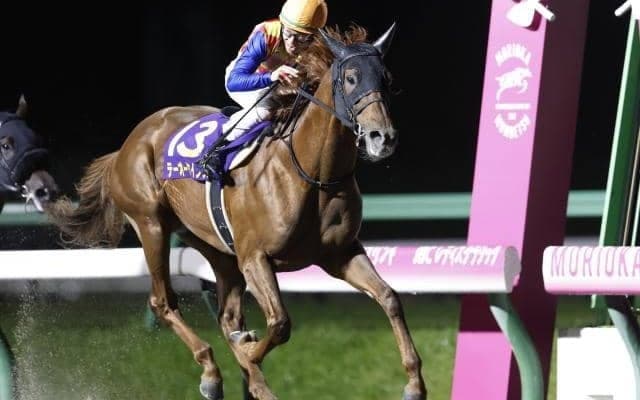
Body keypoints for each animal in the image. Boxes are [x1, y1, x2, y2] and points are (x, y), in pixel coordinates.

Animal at [46, 24, 427, 400]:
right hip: (151, 224)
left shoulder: (340, 253)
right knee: (163, 301)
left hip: (215, 247)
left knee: (226, 315)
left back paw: (247, 380)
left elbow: (389, 298)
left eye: (387, 79)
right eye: (350, 78)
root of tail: (128, 144)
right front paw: (246, 350)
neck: (313, 173)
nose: (382, 137)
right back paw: (212, 372)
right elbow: (280, 324)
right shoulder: (255, 257)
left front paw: (413, 384)